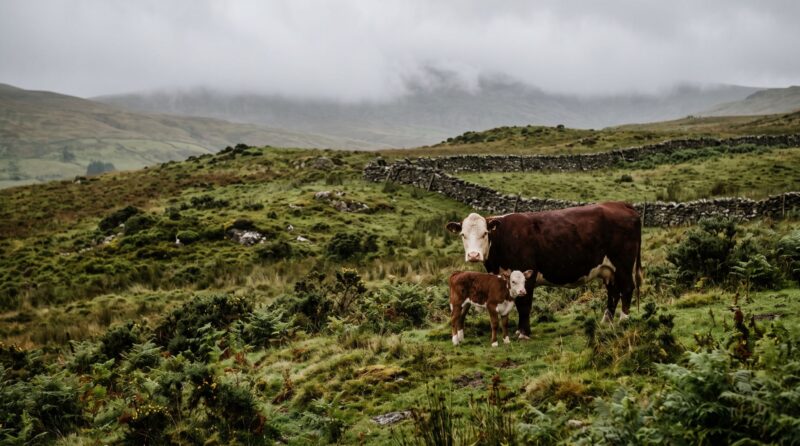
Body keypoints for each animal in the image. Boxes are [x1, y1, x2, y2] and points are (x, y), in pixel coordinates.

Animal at [446, 202, 642, 339]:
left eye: (485, 233)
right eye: (463, 235)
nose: (473, 255)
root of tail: (619, 204)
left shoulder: (527, 274)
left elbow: (524, 305)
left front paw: (524, 333)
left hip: (623, 264)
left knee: (627, 288)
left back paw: (623, 321)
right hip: (608, 269)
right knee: (613, 292)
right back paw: (606, 321)